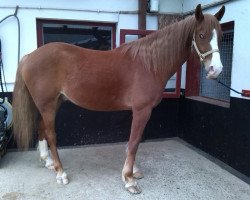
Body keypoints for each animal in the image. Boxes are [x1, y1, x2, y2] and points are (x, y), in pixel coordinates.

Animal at [12, 4, 226, 195]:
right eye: (201, 35)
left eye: (221, 36)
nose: (216, 70)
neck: (149, 64)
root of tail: (30, 56)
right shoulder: (142, 110)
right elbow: (134, 142)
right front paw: (129, 179)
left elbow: (134, 142)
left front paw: (133, 172)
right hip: (47, 105)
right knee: (51, 134)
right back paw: (61, 173)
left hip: (54, 103)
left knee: (41, 128)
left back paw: (48, 162)